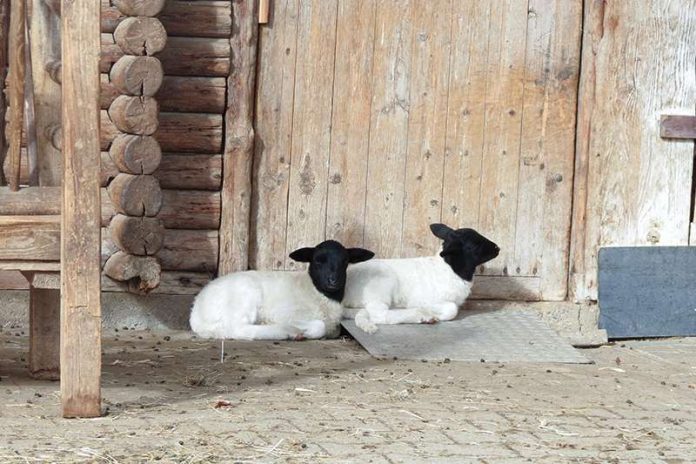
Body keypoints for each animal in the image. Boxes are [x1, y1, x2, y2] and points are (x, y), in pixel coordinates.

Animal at [190, 241, 372, 338]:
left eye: (345, 261)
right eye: (317, 261)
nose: (333, 281)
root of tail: (196, 314)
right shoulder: (287, 313)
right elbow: (319, 325)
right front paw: (302, 331)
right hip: (244, 299)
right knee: (239, 329)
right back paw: (285, 331)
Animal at [342, 225, 494, 334]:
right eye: (475, 245)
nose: (497, 248)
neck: (450, 269)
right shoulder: (432, 301)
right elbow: (452, 309)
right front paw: (431, 313)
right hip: (380, 292)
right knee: (380, 315)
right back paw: (422, 316)